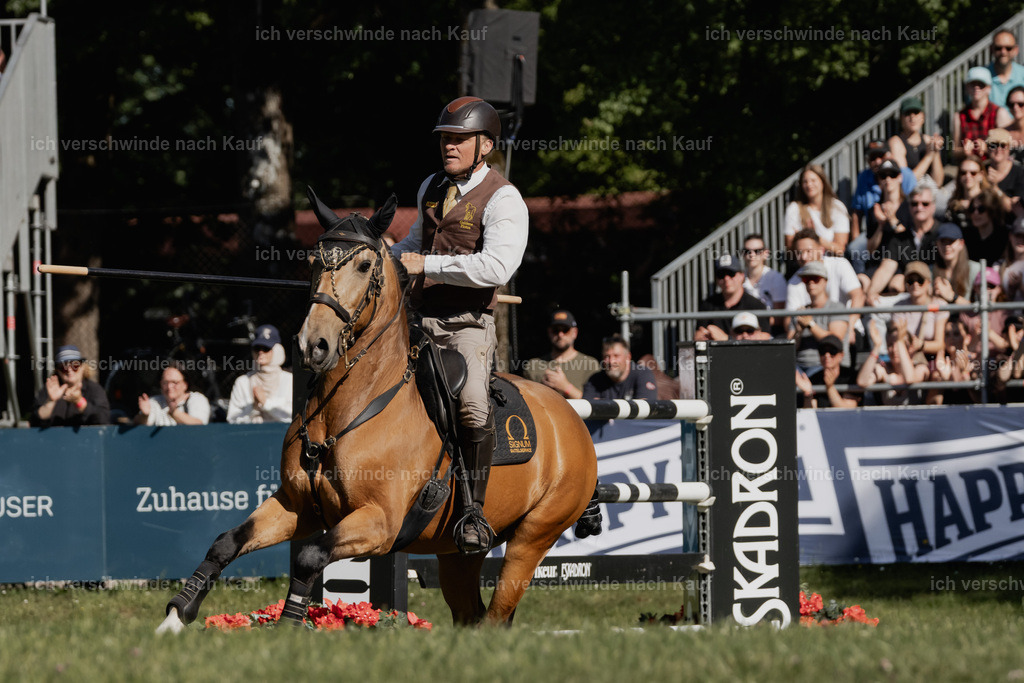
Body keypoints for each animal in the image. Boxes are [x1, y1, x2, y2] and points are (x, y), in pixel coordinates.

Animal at [157, 190, 598, 632]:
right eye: (315, 261)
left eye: (364, 265)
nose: (313, 345)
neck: (346, 408)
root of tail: (571, 416)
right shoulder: (297, 506)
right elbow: (226, 543)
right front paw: (177, 615)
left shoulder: (379, 523)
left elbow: (309, 557)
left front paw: (290, 624)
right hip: (455, 555)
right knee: (470, 614)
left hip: (532, 538)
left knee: (497, 612)